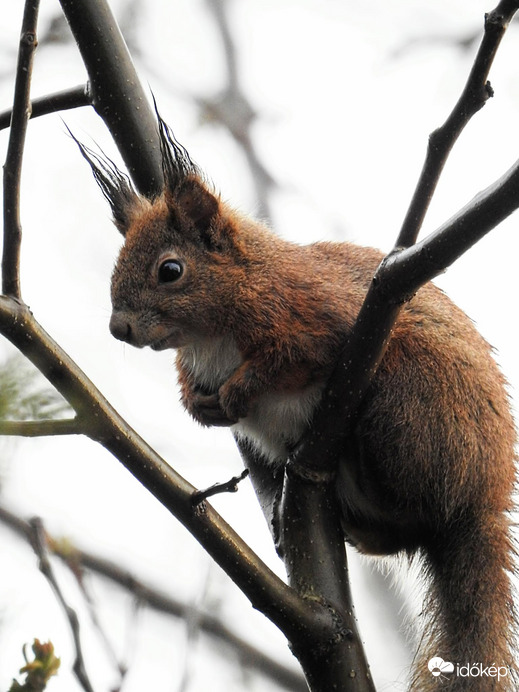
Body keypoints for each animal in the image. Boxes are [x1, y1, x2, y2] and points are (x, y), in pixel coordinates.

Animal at [75, 116, 516, 688]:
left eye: (169, 270)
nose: (119, 328)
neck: (210, 333)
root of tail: (484, 499)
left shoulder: (319, 316)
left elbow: (291, 360)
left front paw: (238, 390)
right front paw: (200, 404)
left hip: (408, 404)